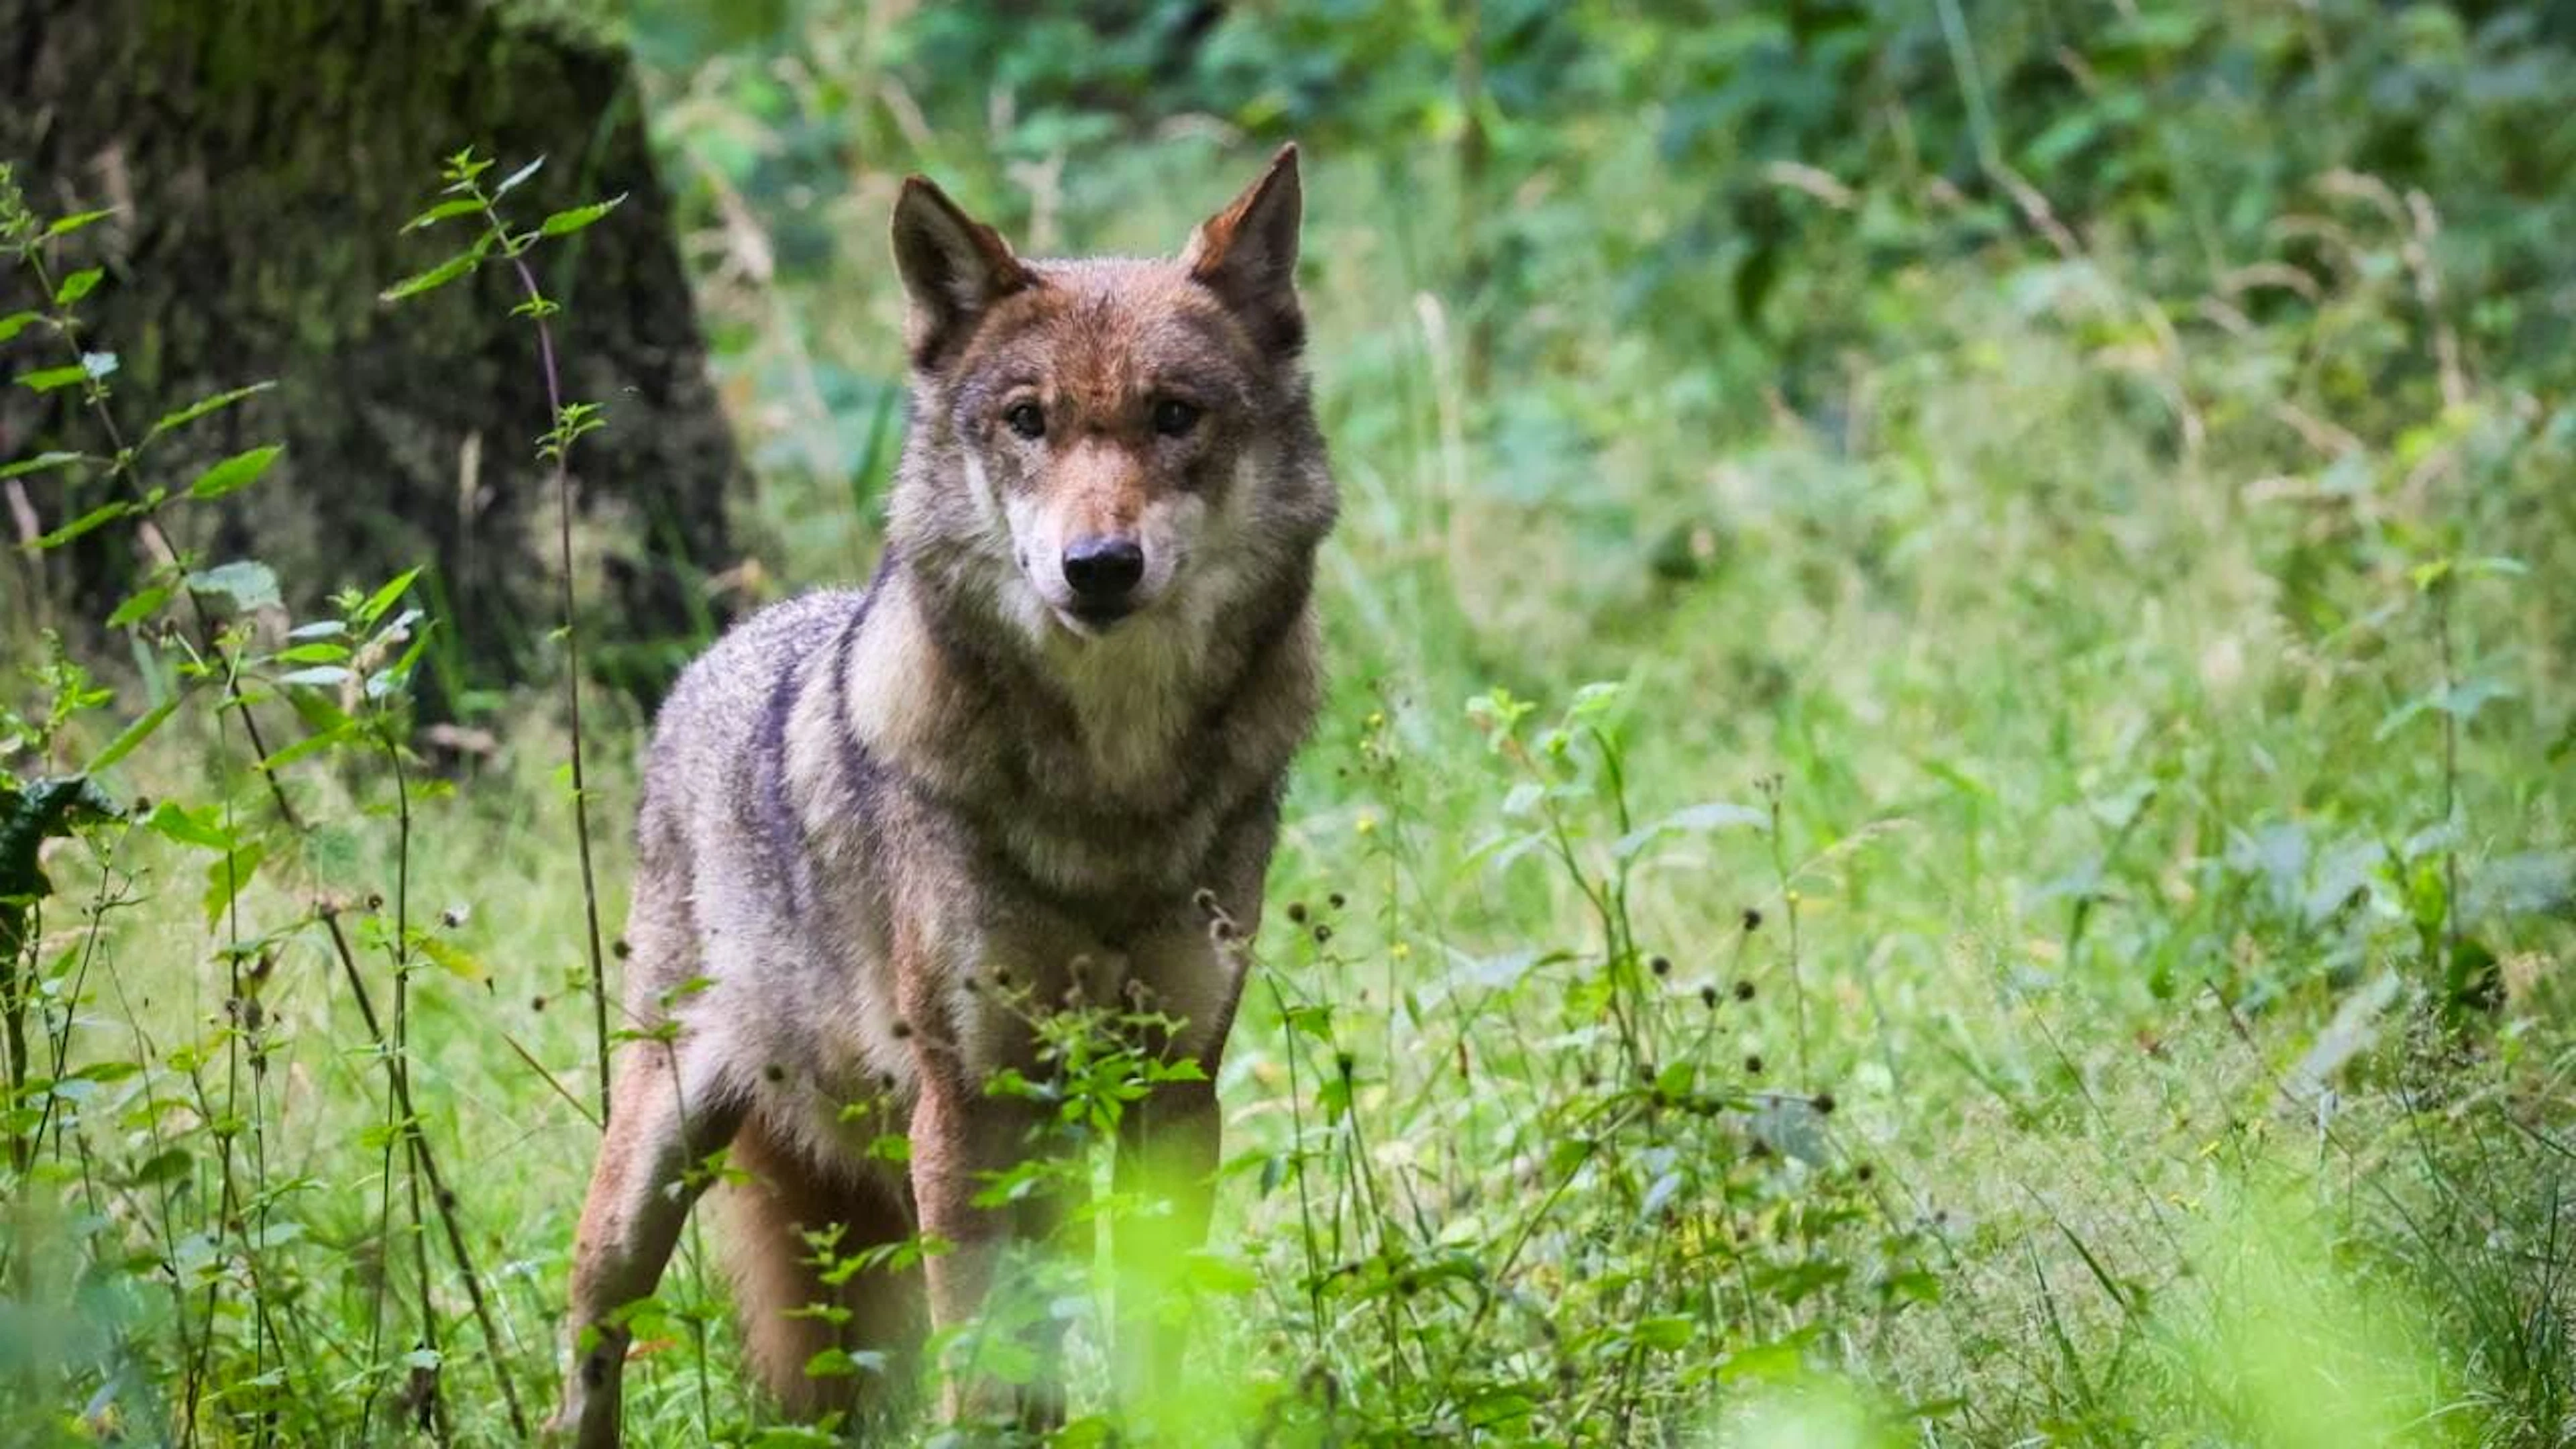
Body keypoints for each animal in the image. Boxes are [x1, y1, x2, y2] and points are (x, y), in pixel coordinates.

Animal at [543, 145, 1335, 1445]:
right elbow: (984, 1364)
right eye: (1028, 421)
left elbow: (1150, 1343)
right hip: (654, 1168)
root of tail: (720, 652)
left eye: (1175, 415)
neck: (1110, 790)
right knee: (589, 1344)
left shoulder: (1174, 1092)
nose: (1097, 567)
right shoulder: (967, 1109)